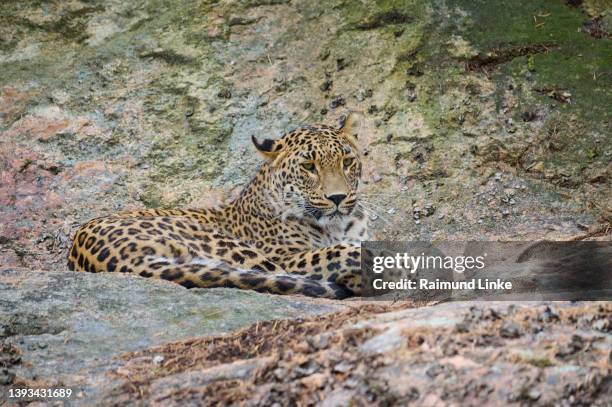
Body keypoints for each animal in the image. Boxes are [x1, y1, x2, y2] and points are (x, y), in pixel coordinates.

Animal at [69, 114, 370, 300]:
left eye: (347, 162)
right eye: (309, 167)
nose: (338, 197)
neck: (337, 226)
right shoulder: (288, 257)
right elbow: (338, 252)